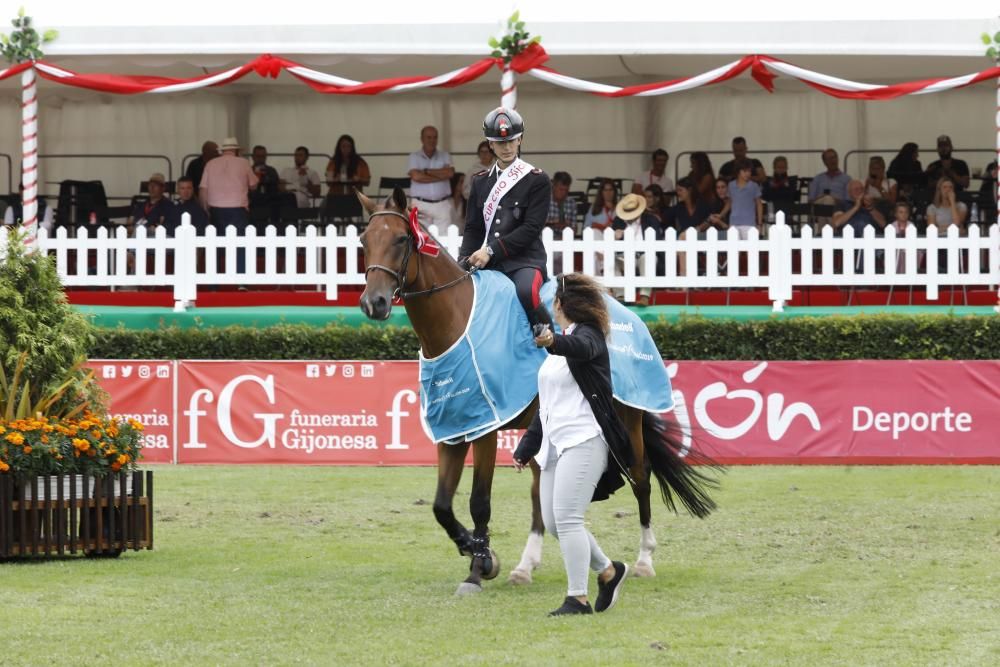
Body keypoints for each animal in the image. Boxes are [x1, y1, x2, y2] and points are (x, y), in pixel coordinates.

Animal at [360, 190, 720, 596]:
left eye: (400, 240)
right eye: (364, 241)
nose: (373, 303)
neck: (455, 321)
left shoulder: (484, 430)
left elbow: (479, 501)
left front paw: (478, 567)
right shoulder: (454, 428)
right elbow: (441, 506)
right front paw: (474, 549)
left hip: (627, 419)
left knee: (641, 478)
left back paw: (644, 559)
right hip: (544, 429)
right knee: (538, 494)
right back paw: (525, 566)